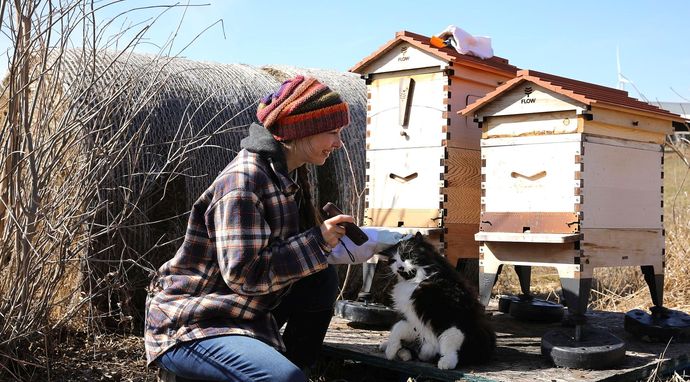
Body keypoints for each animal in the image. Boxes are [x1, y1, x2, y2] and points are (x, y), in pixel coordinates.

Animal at [376, 231, 494, 368]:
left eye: (406, 255)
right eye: (394, 261)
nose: (399, 267)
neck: (418, 281)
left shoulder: (449, 315)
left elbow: (451, 340)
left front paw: (446, 362)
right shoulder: (412, 318)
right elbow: (397, 328)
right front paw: (391, 351)